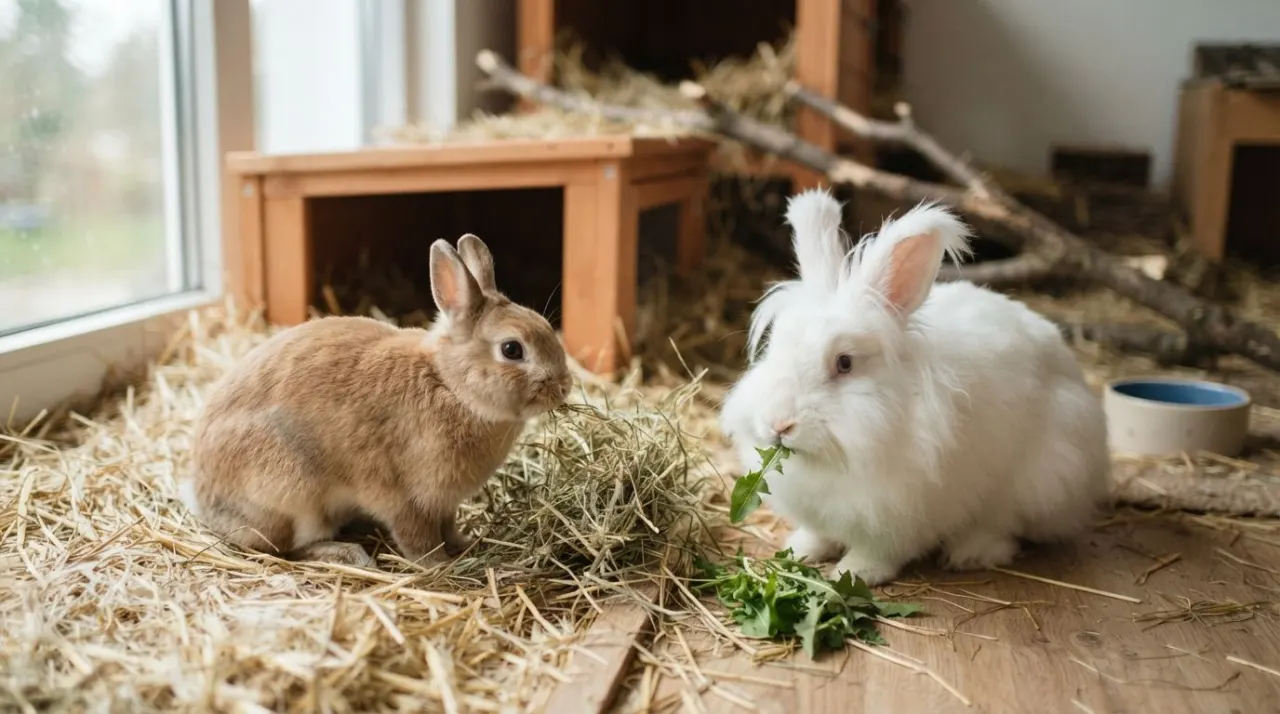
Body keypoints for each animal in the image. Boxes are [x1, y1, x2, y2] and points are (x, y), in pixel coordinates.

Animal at [179, 233, 572, 568]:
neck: (449, 384)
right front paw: (438, 565)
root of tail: (205, 501)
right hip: (293, 497)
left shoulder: (444, 504)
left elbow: (448, 528)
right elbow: (417, 539)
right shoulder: (406, 499)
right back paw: (349, 554)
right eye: (512, 349)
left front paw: (466, 544)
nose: (564, 387)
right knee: (288, 547)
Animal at [719, 189, 1110, 586]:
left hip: (1041, 479)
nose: (779, 424)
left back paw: (972, 553)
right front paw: (800, 549)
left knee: (1004, 526)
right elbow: (819, 534)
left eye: (844, 363)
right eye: (773, 347)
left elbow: (880, 551)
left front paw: (854, 572)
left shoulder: (898, 513)